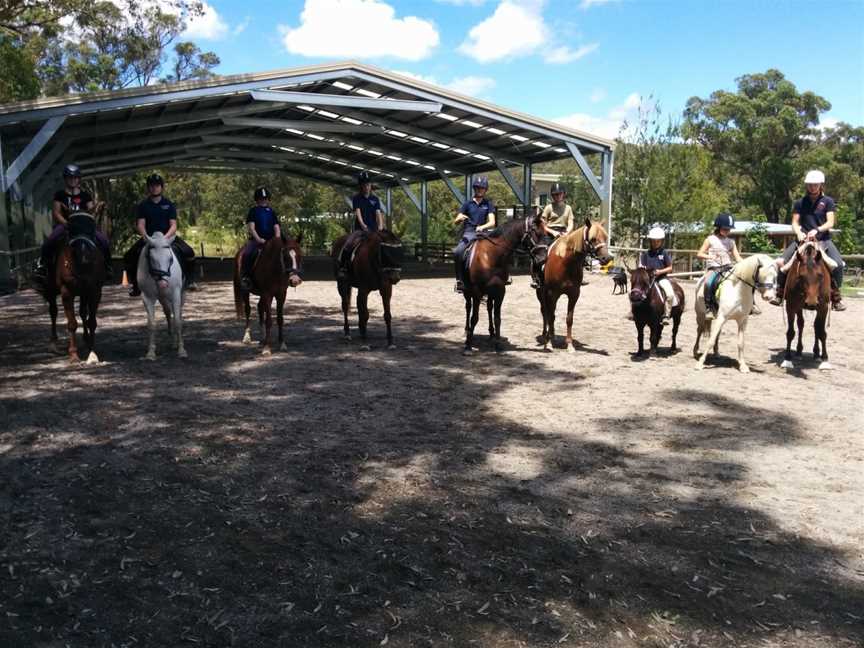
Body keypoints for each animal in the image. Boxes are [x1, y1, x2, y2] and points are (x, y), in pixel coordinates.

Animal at [36, 213, 106, 364]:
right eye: (71, 228)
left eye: (91, 229)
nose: (85, 258)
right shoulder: (67, 292)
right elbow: (72, 323)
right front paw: (73, 355)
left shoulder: (94, 291)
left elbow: (92, 322)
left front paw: (92, 353)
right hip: (51, 291)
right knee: (53, 312)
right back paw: (53, 343)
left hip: (84, 293)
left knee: (83, 313)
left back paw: (86, 339)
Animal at [138, 230, 186, 360]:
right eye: (152, 259)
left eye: (170, 259)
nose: (163, 284)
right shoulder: (147, 297)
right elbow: (151, 324)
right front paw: (150, 352)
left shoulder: (175, 294)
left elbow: (178, 321)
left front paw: (181, 350)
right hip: (162, 297)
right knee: (168, 313)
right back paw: (173, 342)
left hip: (179, 295)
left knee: (176, 314)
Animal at [460, 214, 540, 354]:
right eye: (534, 231)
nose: (542, 256)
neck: (491, 256)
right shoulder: (476, 291)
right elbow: (474, 318)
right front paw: (468, 346)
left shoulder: (500, 291)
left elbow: (497, 319)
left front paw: (498, 345)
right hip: (467, 292)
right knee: (468, 307)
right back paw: (466, 331)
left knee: (488, 308)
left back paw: (491, 334)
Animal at [532, 218, 616, 352]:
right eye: (593, 239)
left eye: (605, 237)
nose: (607, 258)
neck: (566, 262)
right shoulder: (552, 294)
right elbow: (550, 316)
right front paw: (548, 343)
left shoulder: (574, 294)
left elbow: (569, 319)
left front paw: (570, 345)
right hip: (540, 292)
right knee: (545, 312)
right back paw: (546, 335)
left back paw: (553, 335)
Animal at [780, 240, 832, 370]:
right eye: (801, 276)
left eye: (820, 275)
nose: (811, 302)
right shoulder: (791, 307)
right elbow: (790, 332)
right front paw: (787, 359)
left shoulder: (823, 308)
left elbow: (822, 332)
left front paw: (825, 359)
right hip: (799, 308)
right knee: (801, 324)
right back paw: (799, 352)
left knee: (816, 327)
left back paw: (817, 354)